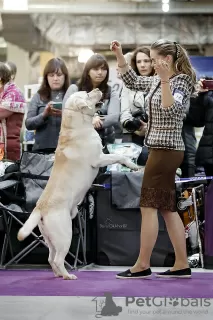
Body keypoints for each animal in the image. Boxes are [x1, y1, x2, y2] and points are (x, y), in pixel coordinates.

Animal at [17, 88, 139, 280]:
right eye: (88, 95)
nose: (98, 89)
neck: (78, 125)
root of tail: (39, 208)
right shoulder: (99, 159)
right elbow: (119, 156)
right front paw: (132, 165)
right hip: (65, 234)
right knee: (58, 259)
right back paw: (68, 276)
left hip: (50, 238)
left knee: (51, 258)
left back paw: (59, 275)